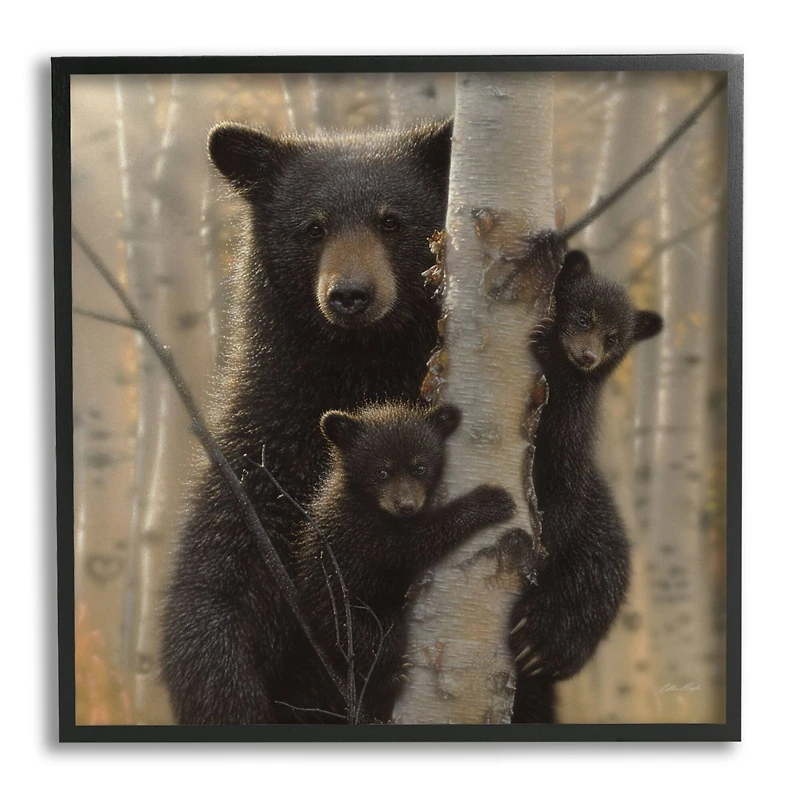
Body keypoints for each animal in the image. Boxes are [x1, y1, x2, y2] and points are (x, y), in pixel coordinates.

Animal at [160, 121, 454, 724]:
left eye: (392, 221)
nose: (351, 295)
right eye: (313, 227)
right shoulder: (264, 451)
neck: (359, 371)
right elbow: (215, 587)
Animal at [272, 402, 516, 723]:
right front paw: (490, 501)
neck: (366, 501)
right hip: (345, 616)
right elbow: (414, 544)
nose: (406, 505)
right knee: (373, 642)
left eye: (420, 467)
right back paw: (389, 678)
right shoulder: (363, 531)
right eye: (382, 471)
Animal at [509, 250, 663, 723]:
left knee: (591, 590)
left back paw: (540, 643)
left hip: (602, 554)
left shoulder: (570, 440)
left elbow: (563, 499)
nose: (589, 356)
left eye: (614, 337)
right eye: (582, 318)